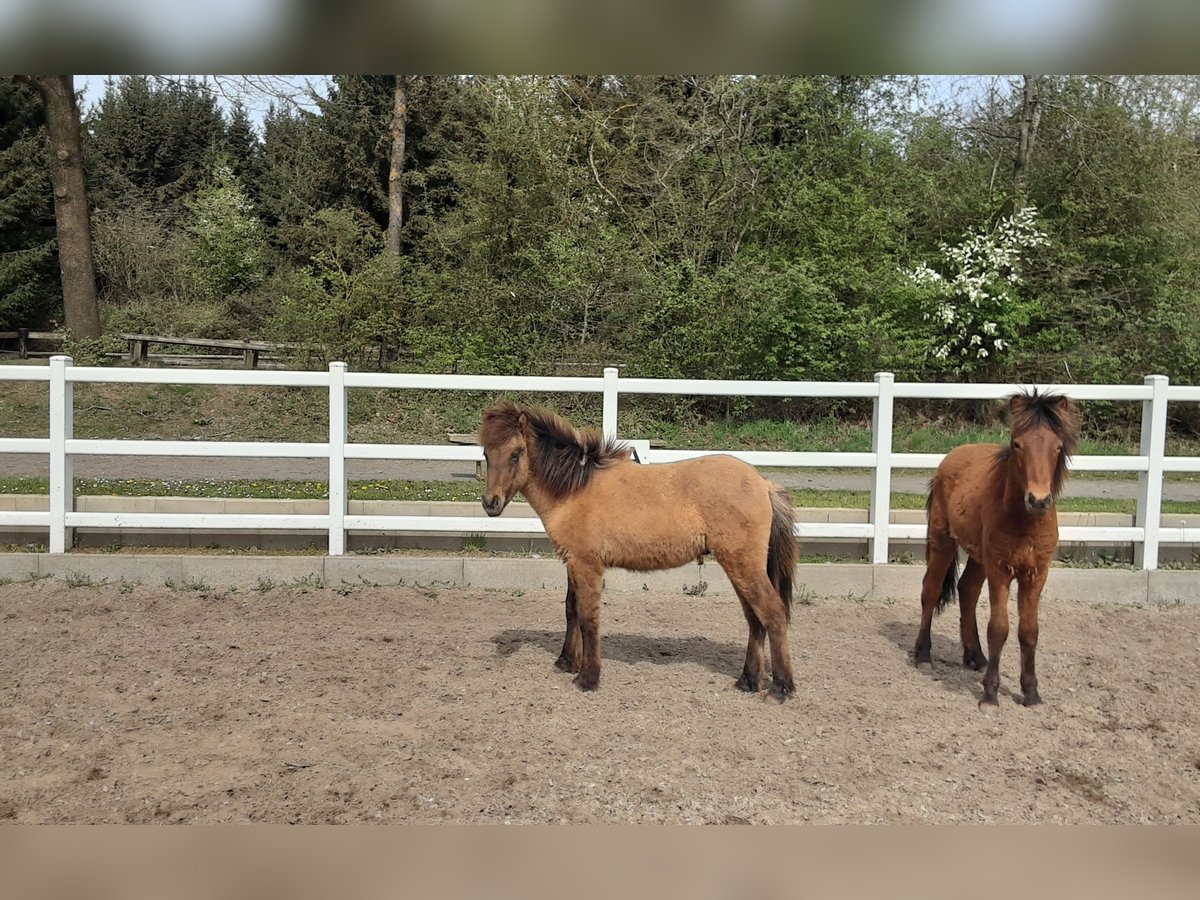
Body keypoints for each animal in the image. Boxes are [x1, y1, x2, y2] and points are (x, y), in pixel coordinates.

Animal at [475, 405, 796, 700]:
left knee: (772, 612)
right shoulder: (572, 561)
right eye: (486, 454)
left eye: (516, 453)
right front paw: (566, 662)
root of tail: (764, 483)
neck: (575, 489)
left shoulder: (587, 565)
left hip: (742, 564)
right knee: (755, 618)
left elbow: (588, 617)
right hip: (739, 566)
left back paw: (780, 688)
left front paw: (588, 677)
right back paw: (748, 681)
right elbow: (570, 609)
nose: (491, 503)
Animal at [912, 391, 1084, 710]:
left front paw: (1031, 693)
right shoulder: (1000, 571)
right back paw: (924, 655)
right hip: (943, 541)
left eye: (1057, 447)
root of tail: (950, 458)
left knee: (967, 591)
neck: (1024, 521)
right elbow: (999, 629)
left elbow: (1029, 632)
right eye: (1017, 444)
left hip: (980, 557)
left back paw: (976, 657)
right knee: (930, 591)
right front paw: (990, 695)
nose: (1038, 500)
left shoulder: (1036, 574)